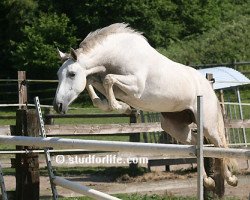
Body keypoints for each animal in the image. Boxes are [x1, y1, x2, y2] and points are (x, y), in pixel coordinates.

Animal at [53, 22, 238, 188]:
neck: (118, 53)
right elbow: (94, 84)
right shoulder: (105, 81)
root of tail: (208, 86)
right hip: (174, 126)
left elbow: (108, 79)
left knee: (219, 145)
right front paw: (120, 106)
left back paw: (231, 179)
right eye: (58, 74)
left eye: (71, 74)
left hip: (207, 124)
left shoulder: (135, 86)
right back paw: (207, 181)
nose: (58, 106)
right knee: (195, 144)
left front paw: (123, 107)